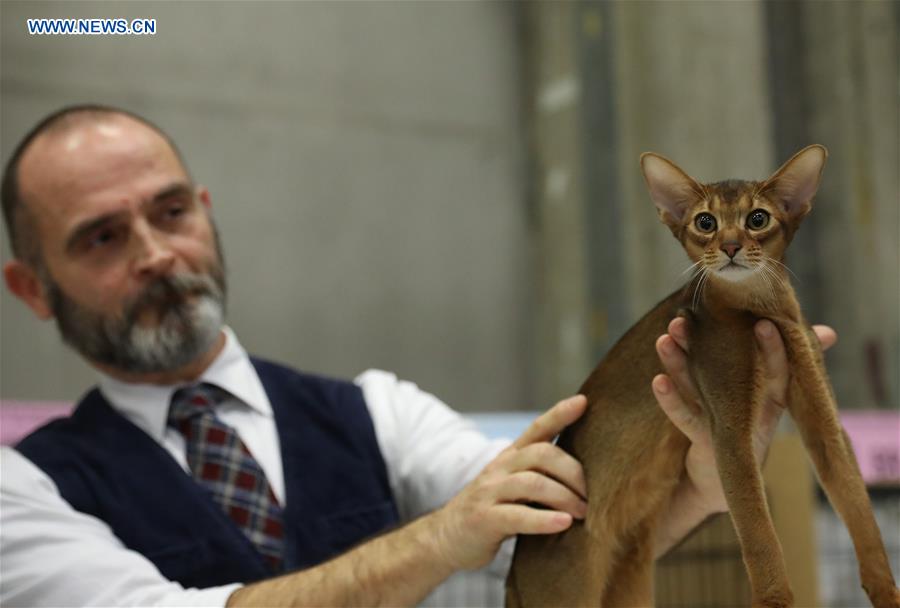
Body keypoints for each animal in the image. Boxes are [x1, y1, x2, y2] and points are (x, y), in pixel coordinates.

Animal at [506, 146, 900, 608]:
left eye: (757, 218)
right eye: (705, 222)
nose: (729, 246)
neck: (761, 310)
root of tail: (513, 572)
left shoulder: (822, 413)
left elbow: (857, 503)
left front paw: (887, 593)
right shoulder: (729, 432)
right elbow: (758, 532)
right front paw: (776, 601)